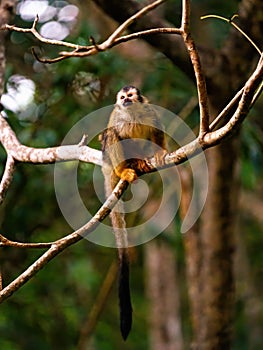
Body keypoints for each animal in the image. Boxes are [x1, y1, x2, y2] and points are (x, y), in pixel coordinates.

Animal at [101, 85, 167, 340]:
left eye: (131, 96)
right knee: (111, 136)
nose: (126, 101)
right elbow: (111, 135)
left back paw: (140, 162)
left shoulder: (150, 111)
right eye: (122, 98)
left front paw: (161, 153)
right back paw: (124, 170)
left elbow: (157, 131)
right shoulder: (117, 116)